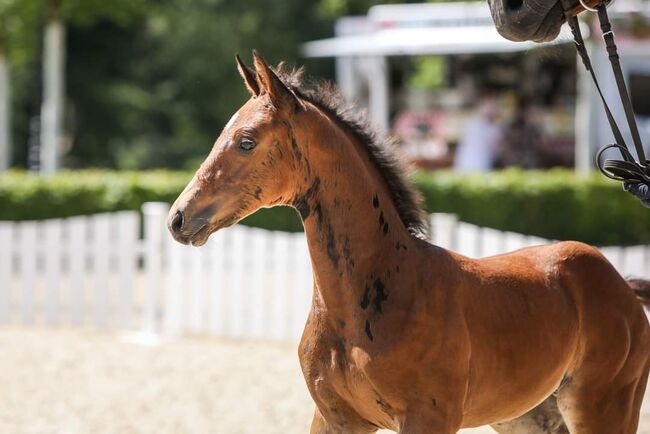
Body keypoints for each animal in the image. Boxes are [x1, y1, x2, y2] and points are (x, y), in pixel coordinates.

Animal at [167, 54, 648, 434]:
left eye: (246, 142)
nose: (178, 218)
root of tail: (622, 286)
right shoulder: (334, 418)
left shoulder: (428, 419)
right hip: (530, 417)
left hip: (605, 407)